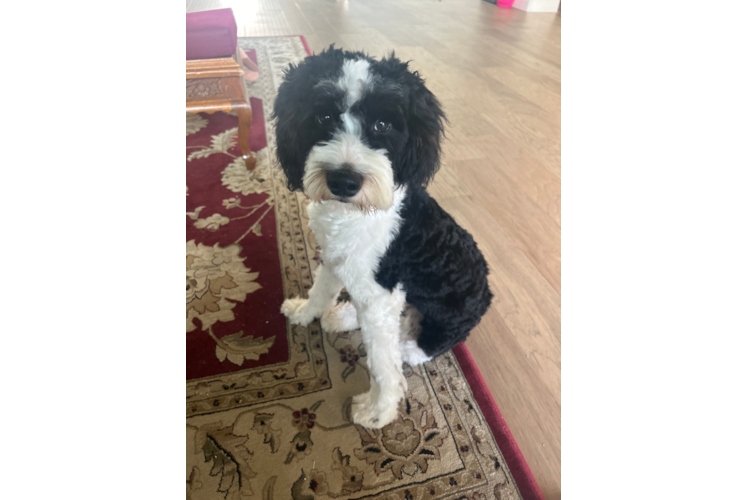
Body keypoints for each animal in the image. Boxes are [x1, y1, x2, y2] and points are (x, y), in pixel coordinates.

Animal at [272, 47, 494, 430]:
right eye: (323, 116)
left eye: (382, 125)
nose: (343, 181)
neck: (354, 213)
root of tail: (487, 290)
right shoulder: (334, 259)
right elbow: (320, 291)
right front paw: (304, 313)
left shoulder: (381, 295)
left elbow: (381, 363)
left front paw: (379, 410)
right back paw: (345, 315)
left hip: (450, 311)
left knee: (433, 339)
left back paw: (410, 349)